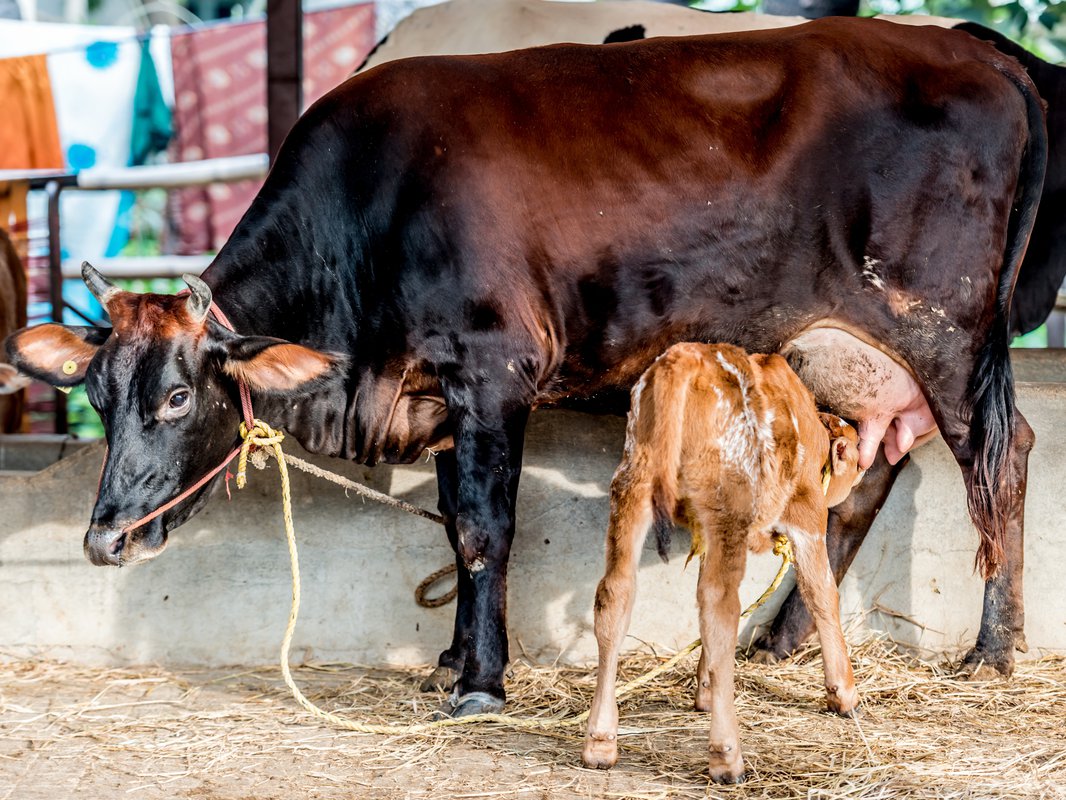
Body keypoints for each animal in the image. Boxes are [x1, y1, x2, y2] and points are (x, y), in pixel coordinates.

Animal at [584, 343, 865, 785]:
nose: (861, 472)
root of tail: (683, 358)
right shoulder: (807, 516)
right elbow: (823, 594)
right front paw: (844, 693)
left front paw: (703, 689)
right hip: (727, 504)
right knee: (722, 608)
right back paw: (726, 756)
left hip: (632, 486)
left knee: (616, 595)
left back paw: (600, 742)